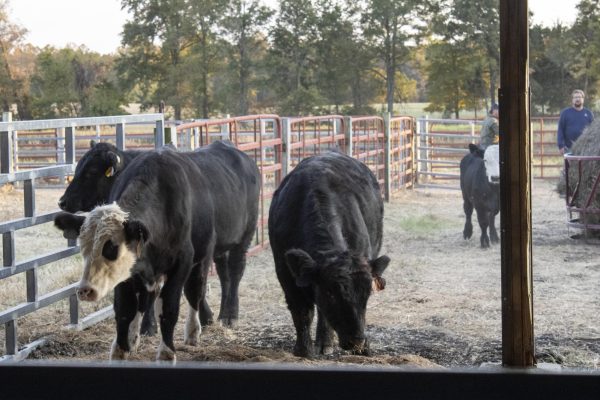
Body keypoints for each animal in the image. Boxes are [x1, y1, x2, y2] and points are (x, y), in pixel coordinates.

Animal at [56, 141, 260, 360]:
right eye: (84, 249)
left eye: (91, 172)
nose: (62, 201)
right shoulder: (133, 270)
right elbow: (127, 308)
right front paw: (126, 342)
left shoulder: (182, 262)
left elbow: (170, 305)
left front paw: (164, 348)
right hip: (219, 249)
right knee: (222, 275)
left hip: (240, 240)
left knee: (222, 277)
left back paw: (225, 317)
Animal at [268, 152, 390, 358]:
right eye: (331, 293)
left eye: (367, 294)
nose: (357, 341)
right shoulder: (285, 272)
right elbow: (302, 311)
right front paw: (303, 349)